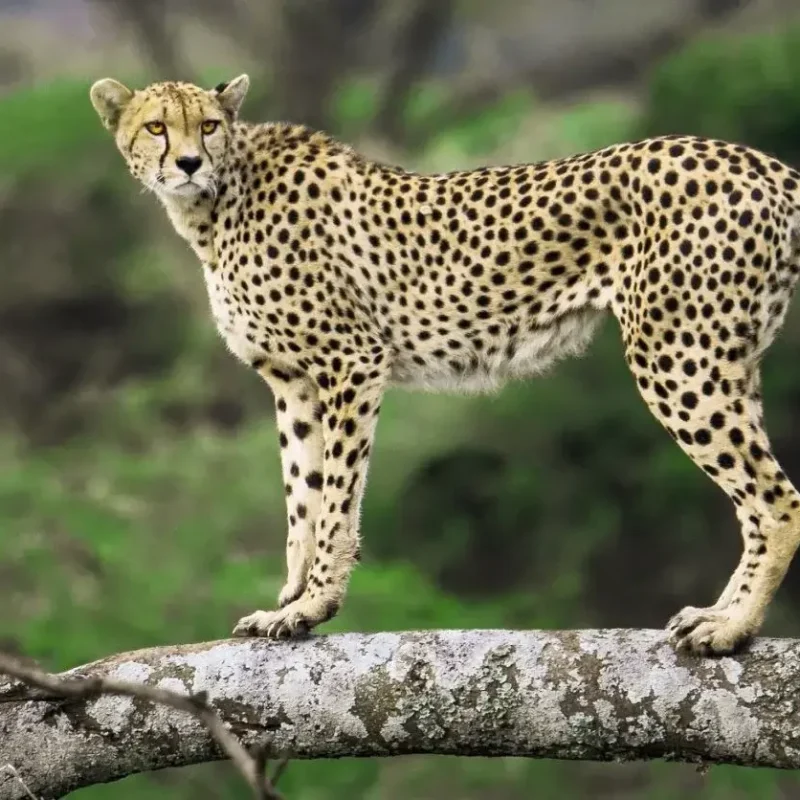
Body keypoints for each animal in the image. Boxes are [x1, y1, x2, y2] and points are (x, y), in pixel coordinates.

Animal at [89, 73, 800, 657]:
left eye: (208, 125)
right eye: (157, 126)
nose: (188, 162)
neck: (218, 199)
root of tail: (760, 161)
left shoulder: (351, 362)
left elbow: (335, 499)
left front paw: (314, 605)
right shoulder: (290, 380)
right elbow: (301, 495)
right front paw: (287, 601)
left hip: (677, 356)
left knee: (776, 499)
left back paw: (731, 628)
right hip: (728, 358)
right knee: (755, 501)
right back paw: (726, 617)